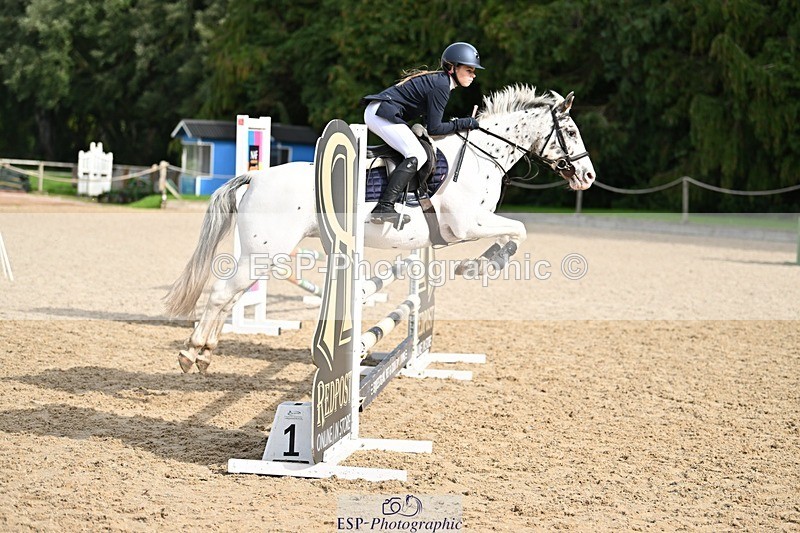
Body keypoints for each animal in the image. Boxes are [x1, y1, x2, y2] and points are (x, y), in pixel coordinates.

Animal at [164, 85, 596, 373]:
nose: (589, 177)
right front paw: (481, 265)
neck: (479, 157)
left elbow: (515, 231)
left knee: (230, 295)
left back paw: (205, 352)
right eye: (572, 132)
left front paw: (481, 264)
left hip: (260, 254)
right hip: (265, 252)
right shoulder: (467, 224)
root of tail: (255, 177)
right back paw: (191, 353)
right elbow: (518, 230)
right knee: (222, 293)